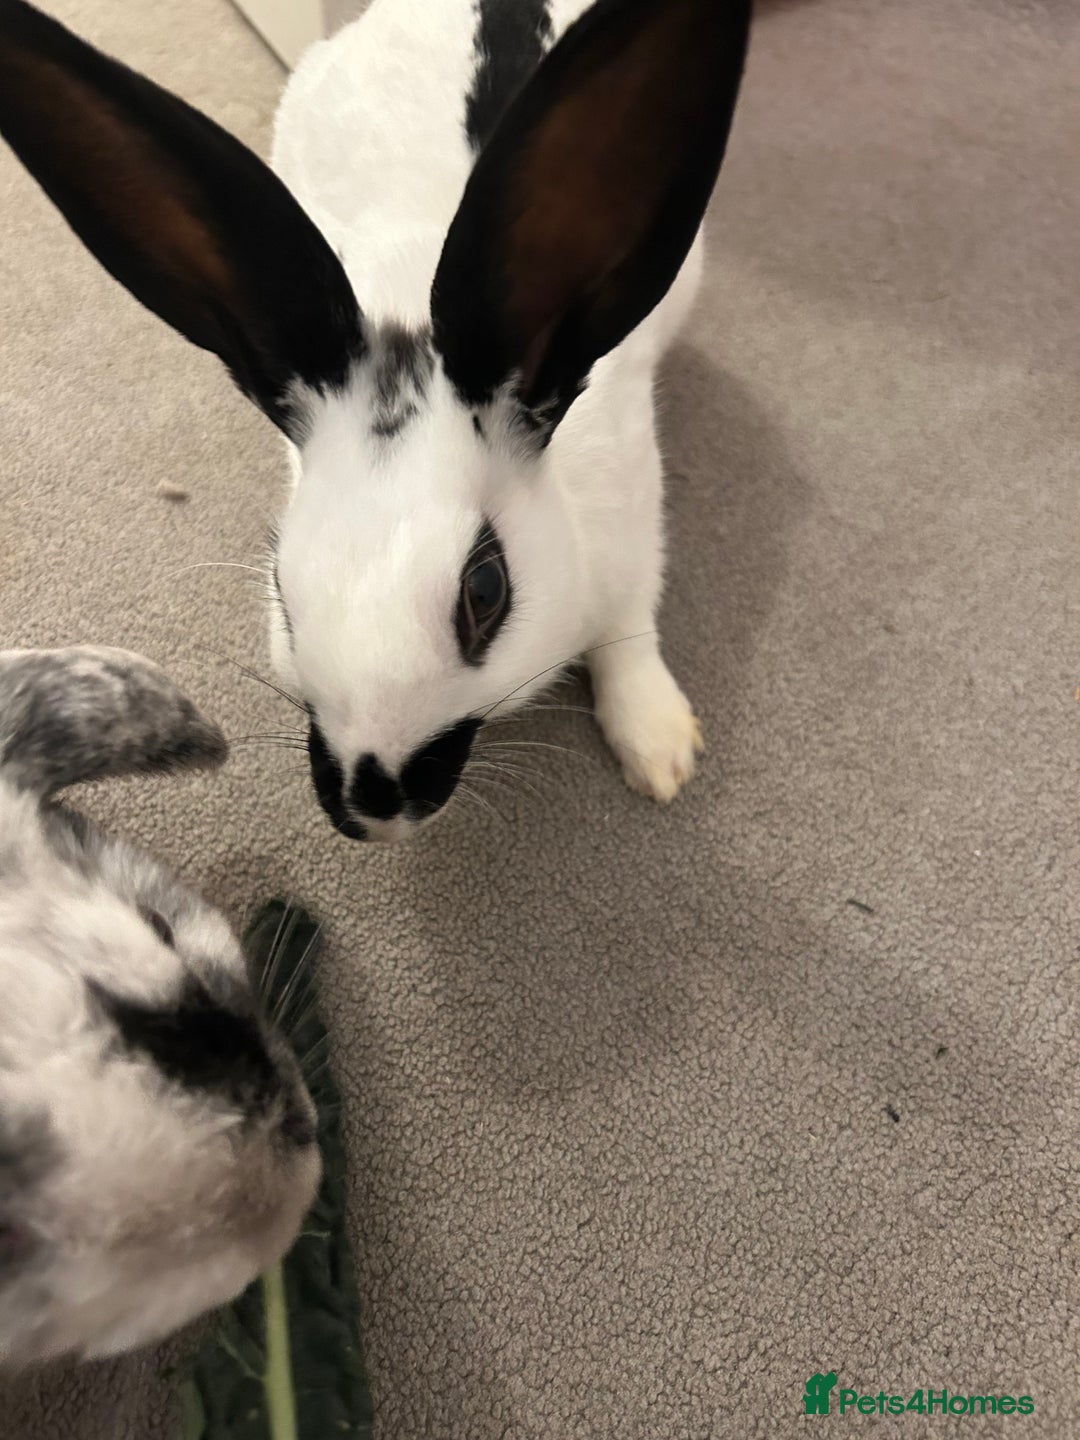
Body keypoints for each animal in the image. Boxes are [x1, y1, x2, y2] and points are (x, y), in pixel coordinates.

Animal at [0, 0, 753, 843]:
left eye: (485, 591)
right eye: (282, 585)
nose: (371, 808)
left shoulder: (633, 526)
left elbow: (630, 636)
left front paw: (660, 752)